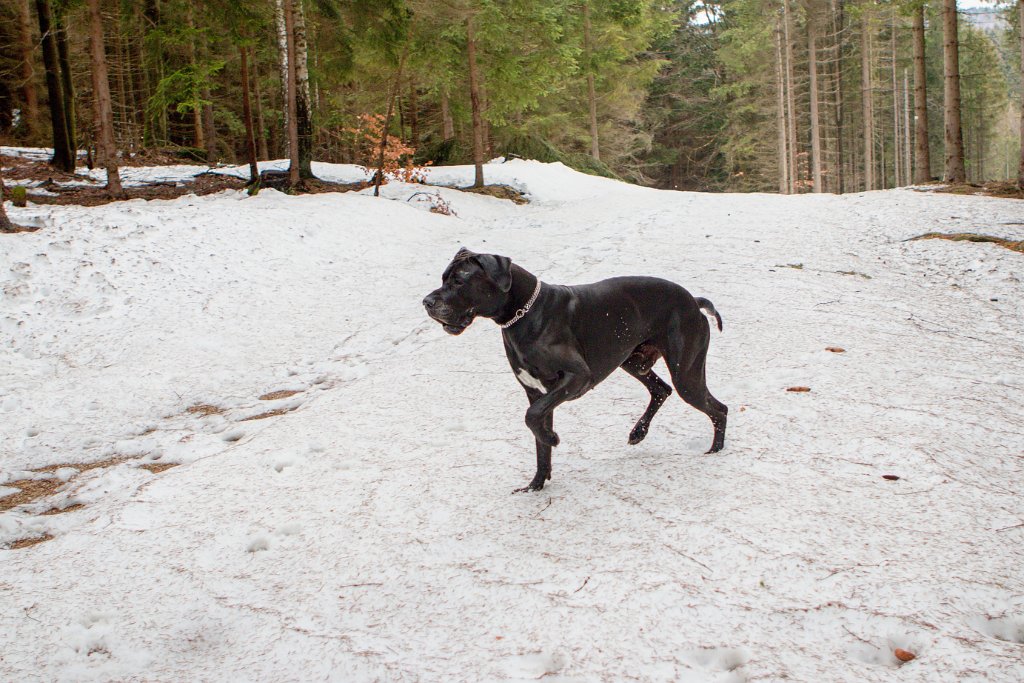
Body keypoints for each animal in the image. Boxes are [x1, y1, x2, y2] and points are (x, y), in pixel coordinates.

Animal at [423, 248, 729, 493]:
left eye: (459, 281)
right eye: (443, 278)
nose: (427, 302)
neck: (523, 314)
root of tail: (694, 301)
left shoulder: (576, 378)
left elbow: (532, 418)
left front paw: (553, 438)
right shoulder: (537, 392)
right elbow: (538, 434)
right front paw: (536, 484)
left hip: (686, 374)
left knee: (718, 408)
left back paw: (716, 450)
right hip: (633, 361)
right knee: (661, 390)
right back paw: (638, 433)